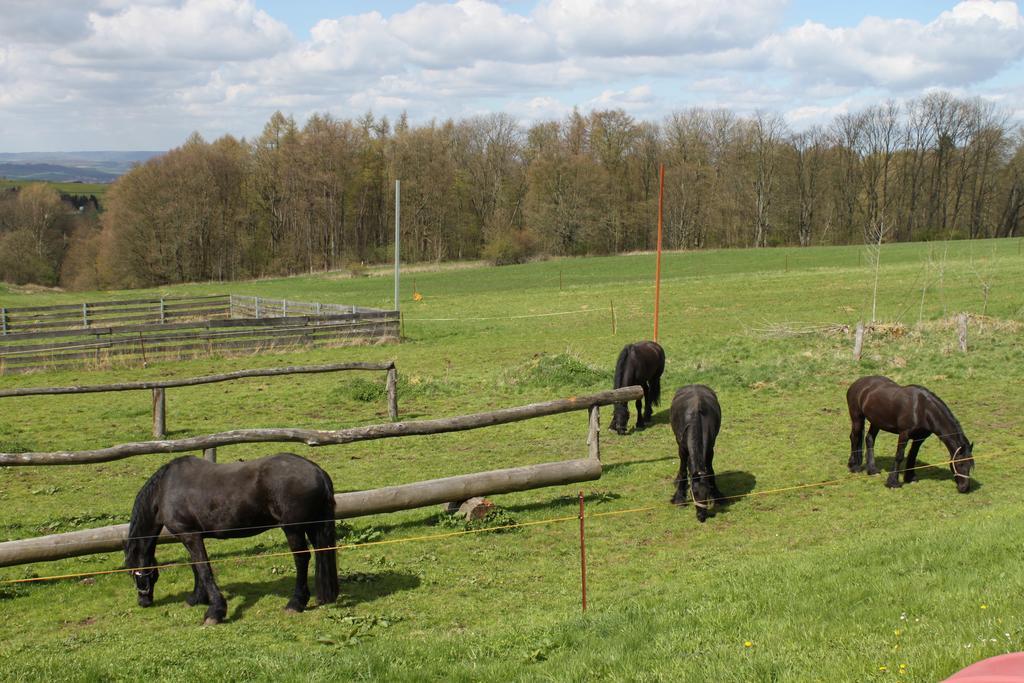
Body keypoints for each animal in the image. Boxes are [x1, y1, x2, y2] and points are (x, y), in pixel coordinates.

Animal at [124, 454, 339, 626]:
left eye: (134, 574)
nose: (143, 602)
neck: (165, 489)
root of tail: (317, 471)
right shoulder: (192, 537)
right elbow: (196, 566)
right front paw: (196, 598)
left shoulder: (190, 536)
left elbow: (204, 568)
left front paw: (215, 611)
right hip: (313, 527)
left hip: (293, 529)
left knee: (302, 559)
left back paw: (295, 603)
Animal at [667, 385, 724, 524]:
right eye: (694, 492)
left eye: (706, 492)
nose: (701, 516)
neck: (696, 420)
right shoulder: (682, 449)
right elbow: (683, 470)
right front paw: (679, 498)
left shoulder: (710, 450)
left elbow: (711, 471)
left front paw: (717, 495)